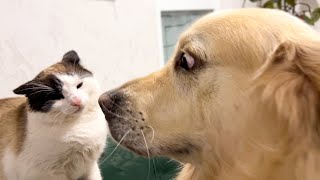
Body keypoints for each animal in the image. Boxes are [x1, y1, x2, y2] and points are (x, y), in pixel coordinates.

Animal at [0, 50, 108, 180]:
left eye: (79, 85)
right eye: (56, 96)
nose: (76, 101)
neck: (80, 123)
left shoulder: (90, 167)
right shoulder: (48, 173)